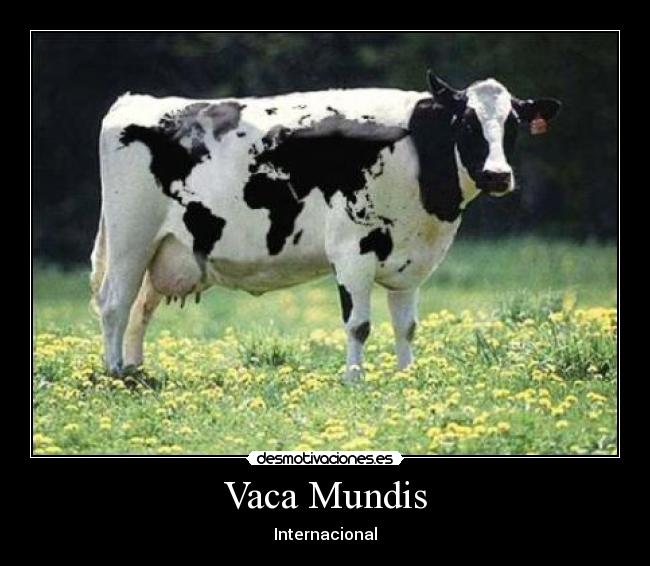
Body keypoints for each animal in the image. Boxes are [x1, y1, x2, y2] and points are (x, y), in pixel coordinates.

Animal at [90, 71, 560, 381]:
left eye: (513, 125)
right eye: (466, 122)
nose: (498, 175)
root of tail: (135, 101)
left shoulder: (410, 261)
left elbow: (406, 325)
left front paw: (406, 376)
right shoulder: (353, 249)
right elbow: (359, 324)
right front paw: (354, 379)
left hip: (164, 249)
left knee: (140, 309)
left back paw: (135, 371)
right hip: (131, 239)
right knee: (115, 303)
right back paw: (114, 373)